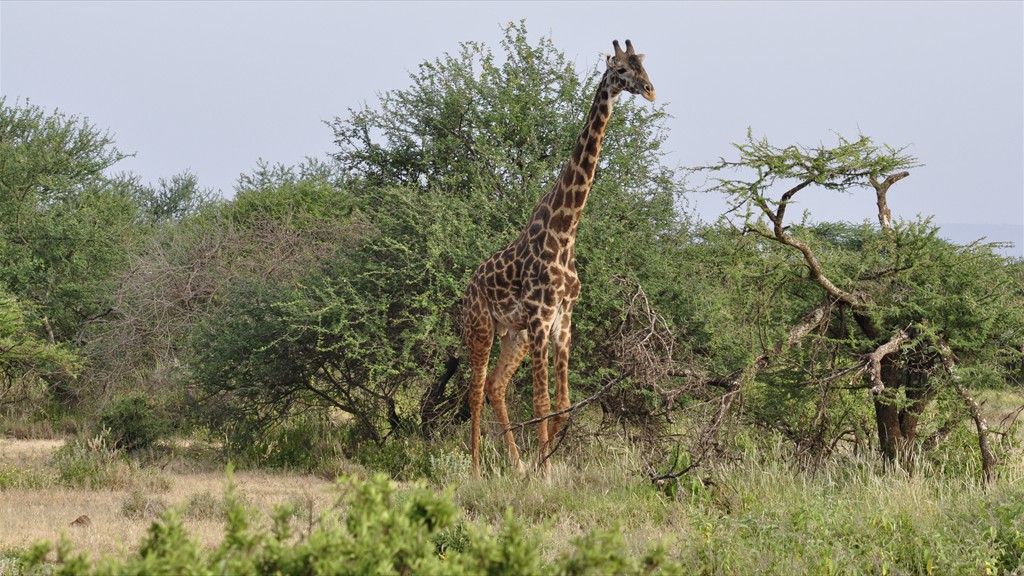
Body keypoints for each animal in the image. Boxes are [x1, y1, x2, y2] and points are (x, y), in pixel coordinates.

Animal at [460, 36, 651, 475]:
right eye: (621, 70)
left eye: (644, 66)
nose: (650, 90)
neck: (566, 232)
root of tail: (468, 286)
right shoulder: (541, 318)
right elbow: (542, 401)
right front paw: (544, 473)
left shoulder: (563, 321)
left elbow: (563, 405)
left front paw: (540, 466)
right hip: (481, 327)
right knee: (475, 389)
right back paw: (476, 469)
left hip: (513, 335)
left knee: (495, 385)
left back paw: (515, 465)